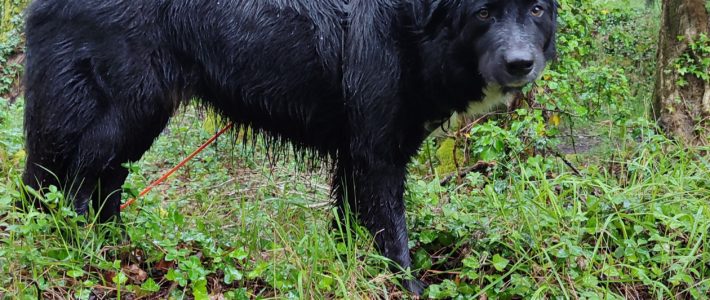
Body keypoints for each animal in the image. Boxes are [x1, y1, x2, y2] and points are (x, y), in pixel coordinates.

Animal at [20, 0, 556, 294]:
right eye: (483, 12)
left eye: (537, 9)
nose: (520, 64)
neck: (415, 27)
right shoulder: (378, 155)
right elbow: (391, 232)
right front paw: (407, 287)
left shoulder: (355, 154)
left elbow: (350, 226)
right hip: (126, 106)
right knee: (77, 177)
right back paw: (87, 255)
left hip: (140, 115)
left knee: (102, 180)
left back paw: (118, 251)